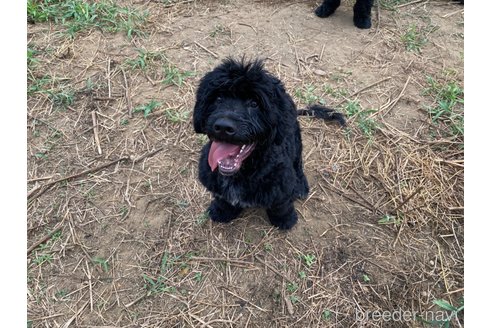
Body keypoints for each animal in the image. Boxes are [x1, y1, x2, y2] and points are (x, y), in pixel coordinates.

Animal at [193, 57, 346, 229]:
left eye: (254, 103)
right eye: (218, 98)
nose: (224, 127)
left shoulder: (281, 186)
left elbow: (280, 205)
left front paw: (285, 220)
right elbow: (222, 199)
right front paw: (222, 211)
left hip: (295, 141)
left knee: (298, 164)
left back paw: (300, 185)